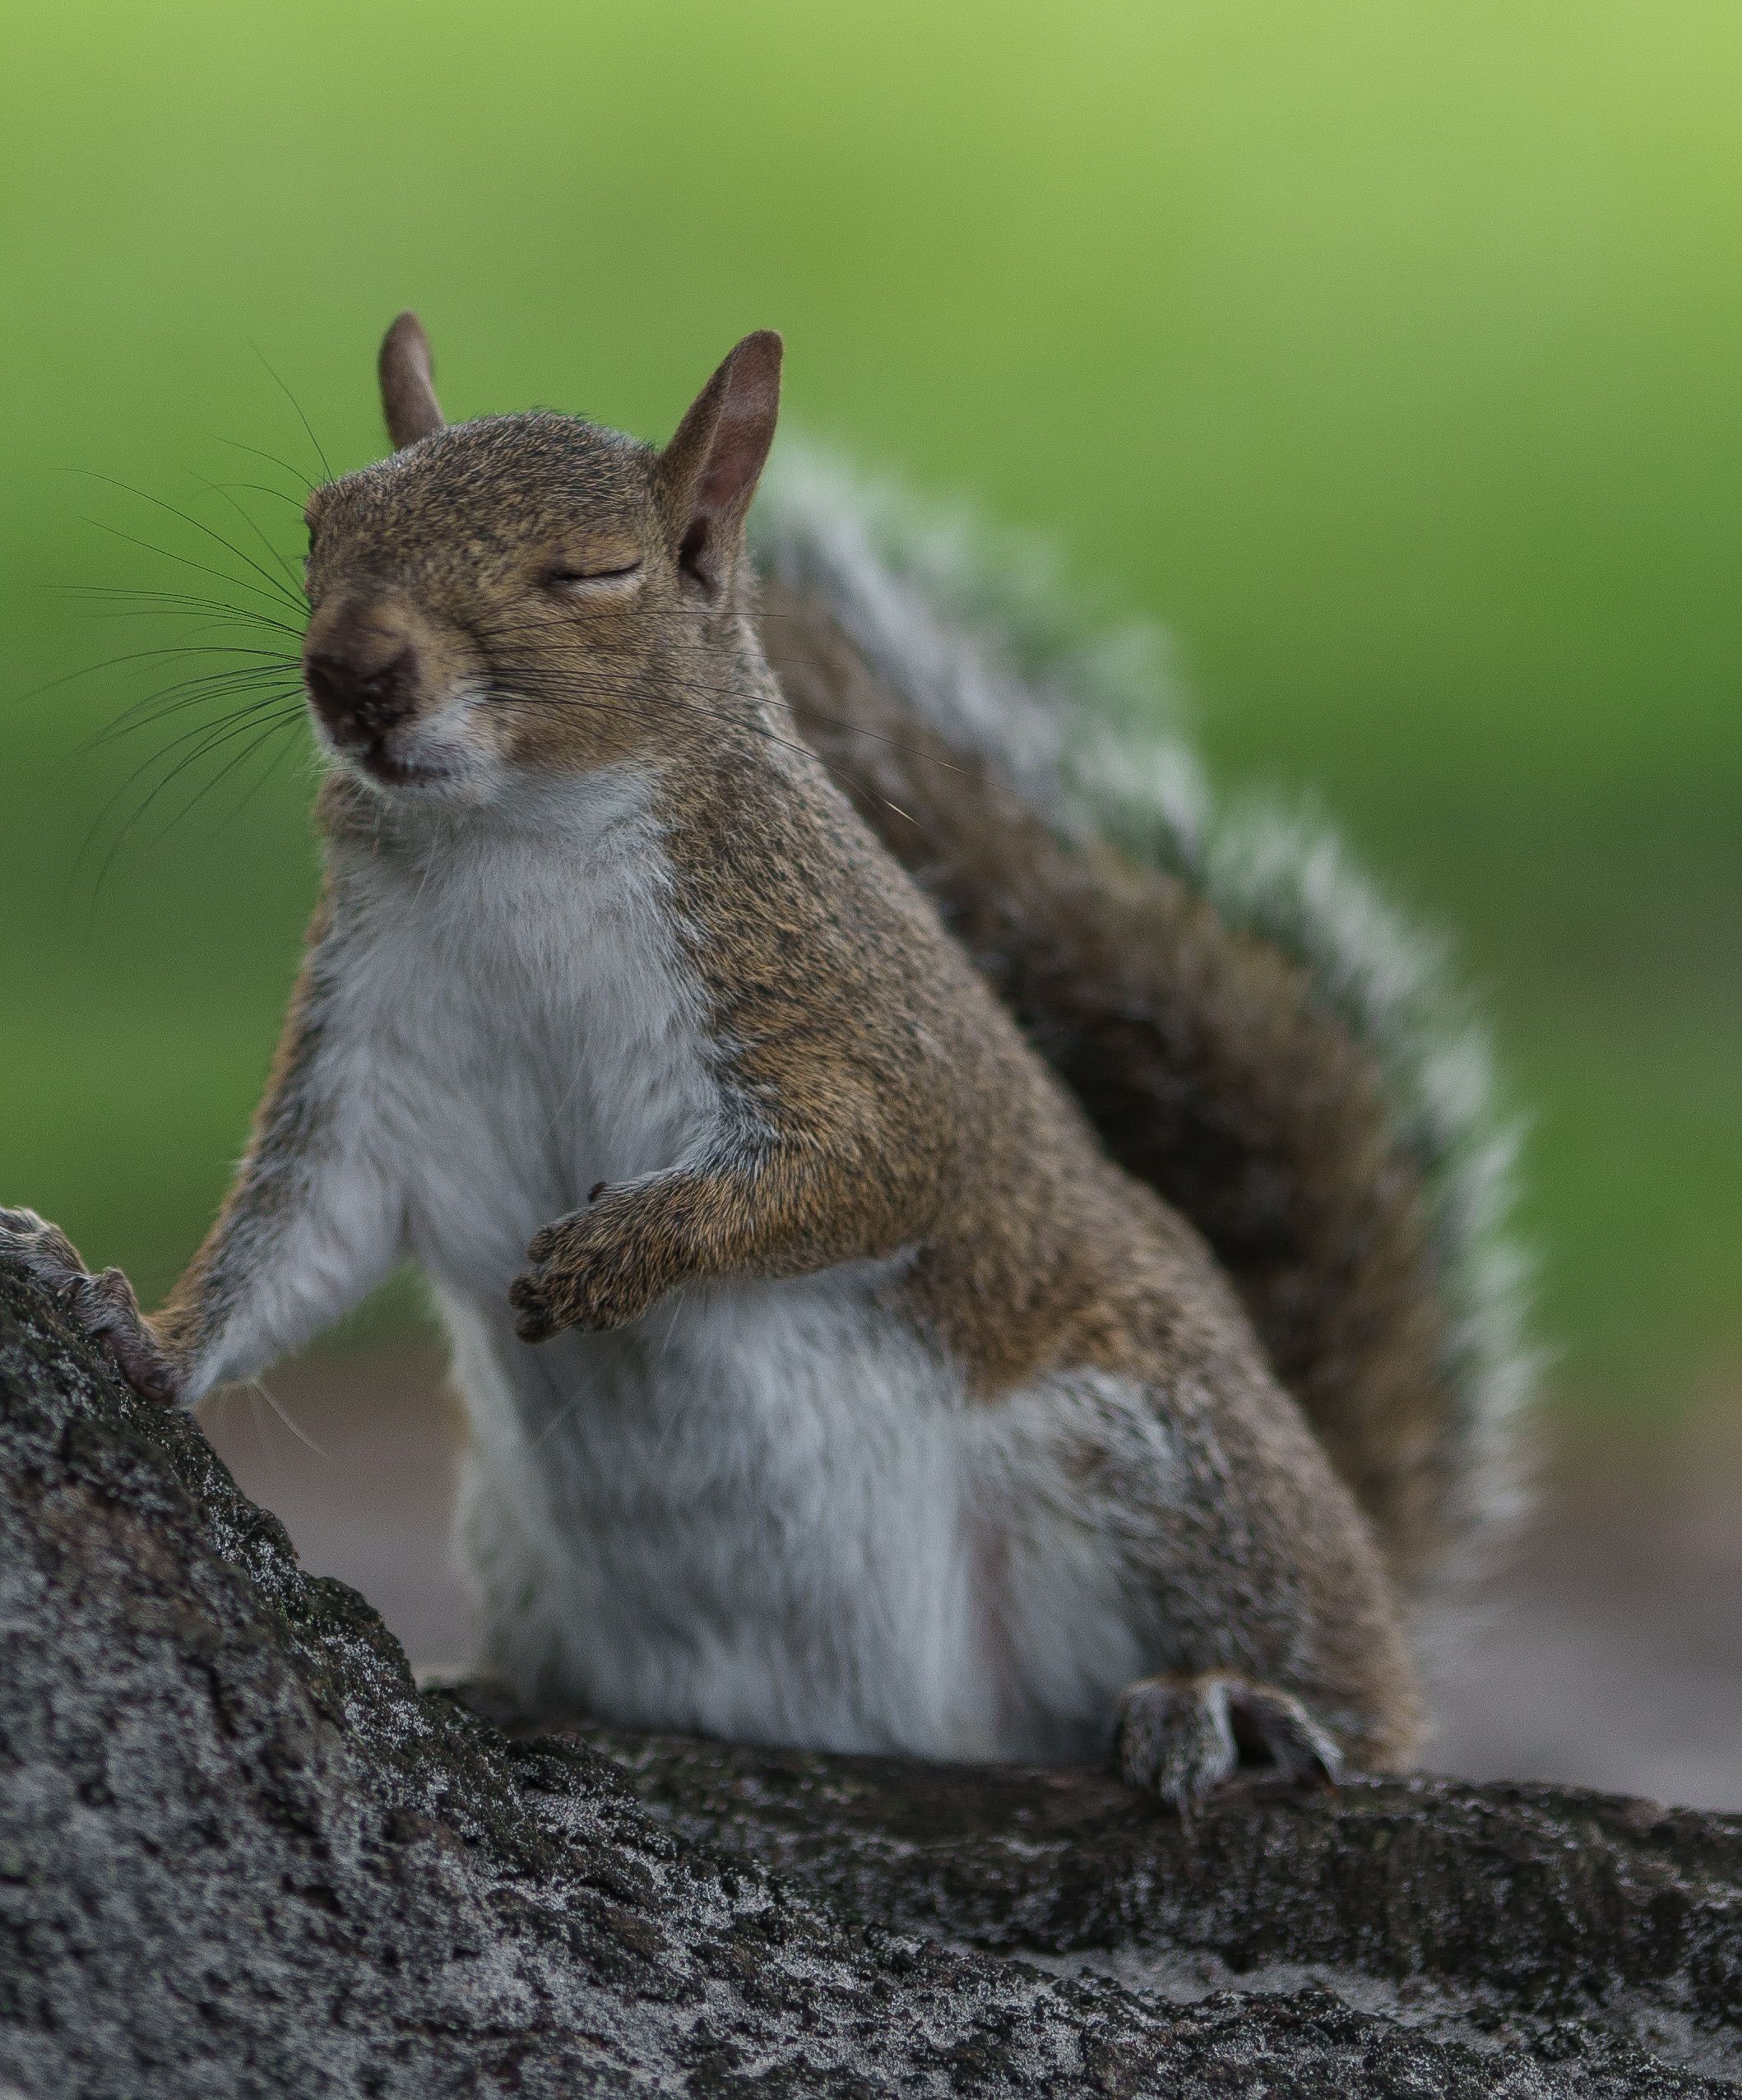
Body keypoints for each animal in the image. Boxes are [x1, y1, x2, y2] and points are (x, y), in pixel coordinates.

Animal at [1, 315, 1530, 1802]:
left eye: (593, 569)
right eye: (321, 528)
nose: (353, 671)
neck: (515, 842)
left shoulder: (848, 1010)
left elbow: (880, 1169)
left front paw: (618, 1255)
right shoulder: (368, 1056)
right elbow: (293, 1238)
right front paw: (132, 1329)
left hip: (1159, 1456)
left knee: (1357, 1697)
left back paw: (1240, 1696)